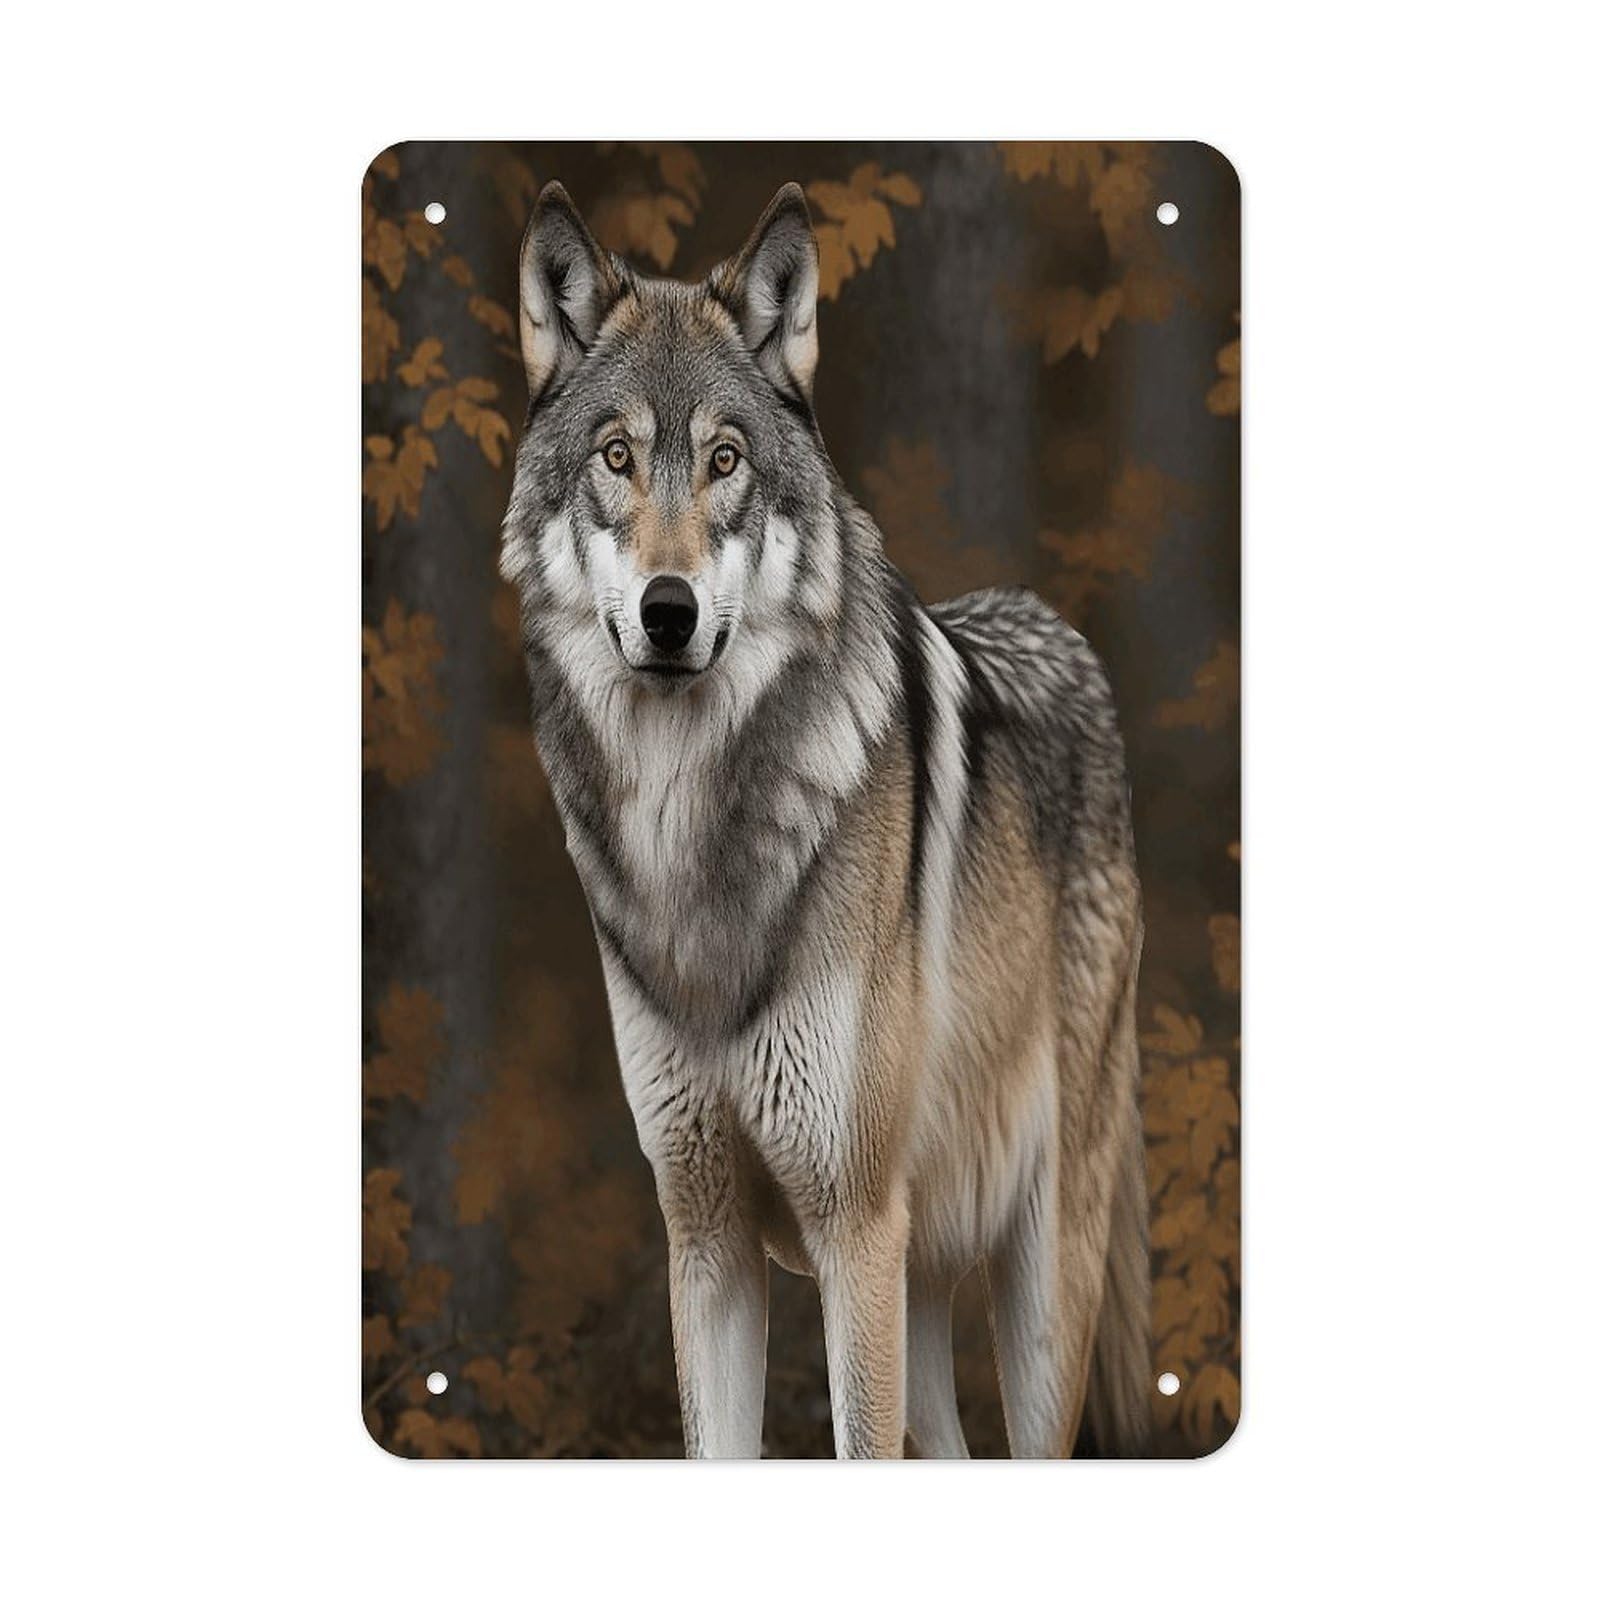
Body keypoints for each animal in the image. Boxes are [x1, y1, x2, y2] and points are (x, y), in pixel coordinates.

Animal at [500, 181, 1150, 1459]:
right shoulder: (704, 1241)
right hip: (924, 1279)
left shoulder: (852, 1229)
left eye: (725, 460)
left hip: (1036, 1288)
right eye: (616, 456)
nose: (668, 611)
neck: (690, 835)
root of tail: (1058, 628)